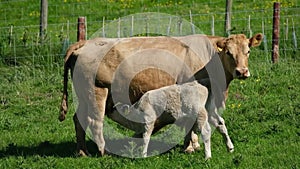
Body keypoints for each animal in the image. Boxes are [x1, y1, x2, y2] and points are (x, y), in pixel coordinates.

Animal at [59, 33, 262, 157]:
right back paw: (104, 152)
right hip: (97, 90)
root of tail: (86, 43)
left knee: (78, 119)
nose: (242, 72)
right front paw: (190, 146)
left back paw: (82, 151)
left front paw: (193, 144)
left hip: (84, 95)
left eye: (248, 51)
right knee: (95, 121)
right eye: (228, 53)